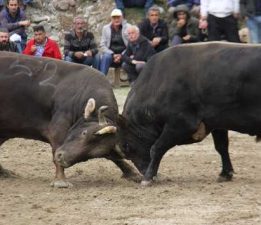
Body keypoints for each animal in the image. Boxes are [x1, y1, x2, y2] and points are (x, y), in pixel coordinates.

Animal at [0, 51, 139, 187]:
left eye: (93, 154)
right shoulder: (58, 127)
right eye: (84, 133)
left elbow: (114, 157)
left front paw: (132, 173)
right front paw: (60, 180)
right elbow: (56, 145)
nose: (62, 158)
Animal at [119, 41, 260, 185]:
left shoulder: (181, 124)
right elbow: (221, 146)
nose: (142, 172)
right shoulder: (217, 121)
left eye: (126, 147)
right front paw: (226, 173)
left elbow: (157, 148)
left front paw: (148, 178)